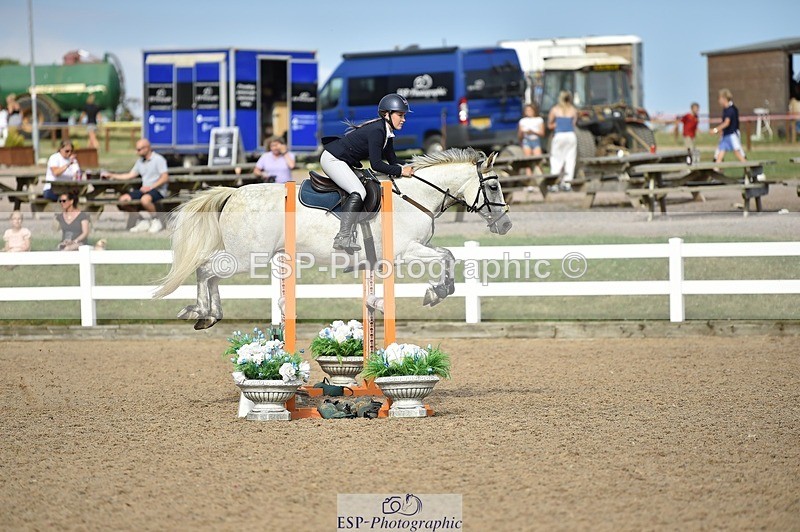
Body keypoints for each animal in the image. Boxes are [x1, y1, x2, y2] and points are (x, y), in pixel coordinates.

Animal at [153, 147, 512, 329]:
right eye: (494, 186)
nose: (506, 225)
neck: (416, 196)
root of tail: (232, 194)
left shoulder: (416, 248)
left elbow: (448, 255)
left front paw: (438, 290)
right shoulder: (405, 252)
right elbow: (447, 257)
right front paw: (435, 293)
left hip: (243, 257)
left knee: (210, 273)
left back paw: (212, 314)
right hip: (245, 258)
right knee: (206, 269)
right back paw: (202, 311)